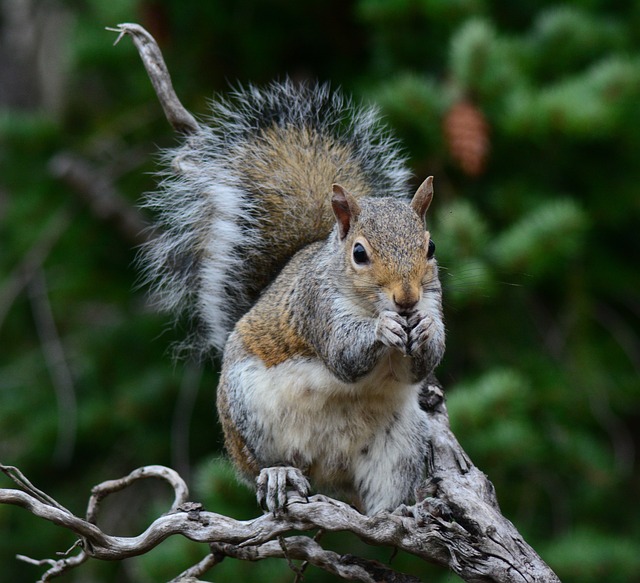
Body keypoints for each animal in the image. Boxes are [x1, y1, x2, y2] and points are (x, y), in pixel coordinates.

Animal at [141, 78, 444, 516]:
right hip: (247, 415)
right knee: (261, 465)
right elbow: (343, 356)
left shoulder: (433, 300)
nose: (406, 299)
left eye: (430, 247)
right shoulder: (314, 307)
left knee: (385, 496)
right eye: (359, 253)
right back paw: (279, 474)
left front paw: (424, 331)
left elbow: (418, 369)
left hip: (400, 447)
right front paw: (382, 329)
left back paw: (398, 513)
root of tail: (331, 472)